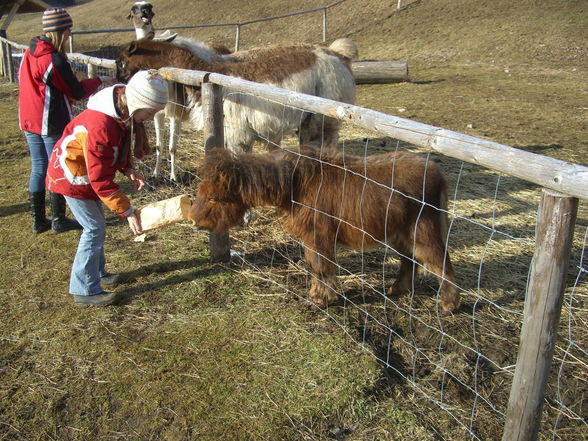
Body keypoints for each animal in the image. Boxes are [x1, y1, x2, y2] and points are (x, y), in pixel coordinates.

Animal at [188, 146, 460, 312]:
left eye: (214, 198)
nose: (192, 220)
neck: (294, 185)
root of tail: (437, 173)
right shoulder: (313, 238)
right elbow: (317, 266)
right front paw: (320, 296)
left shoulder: (318, 236)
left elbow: (320, 267)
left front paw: (320, 299)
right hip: (400, 233)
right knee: (410, 261)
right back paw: (397, 290)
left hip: (423, 230)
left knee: (441, 263)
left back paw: (449, 304)